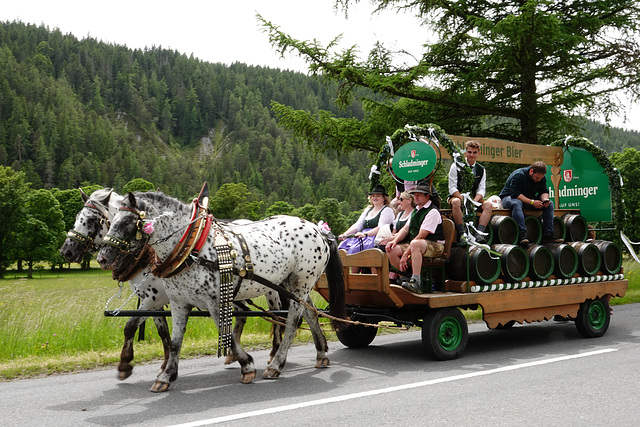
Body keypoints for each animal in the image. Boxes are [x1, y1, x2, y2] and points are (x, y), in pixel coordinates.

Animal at [96, 186, 344, 392]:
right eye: (111, 221)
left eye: (127, 222)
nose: (102, 258)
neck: (192, 248)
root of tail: (318, 230)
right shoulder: (177, 303)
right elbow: (174, 341)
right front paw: (165, 376)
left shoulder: (213, 302)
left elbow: (228, 335)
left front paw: (247, 366)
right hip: (291, 284)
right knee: (310, 313)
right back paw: (321, 354)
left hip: (300, 283)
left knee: (292, 320)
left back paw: (276, 364)